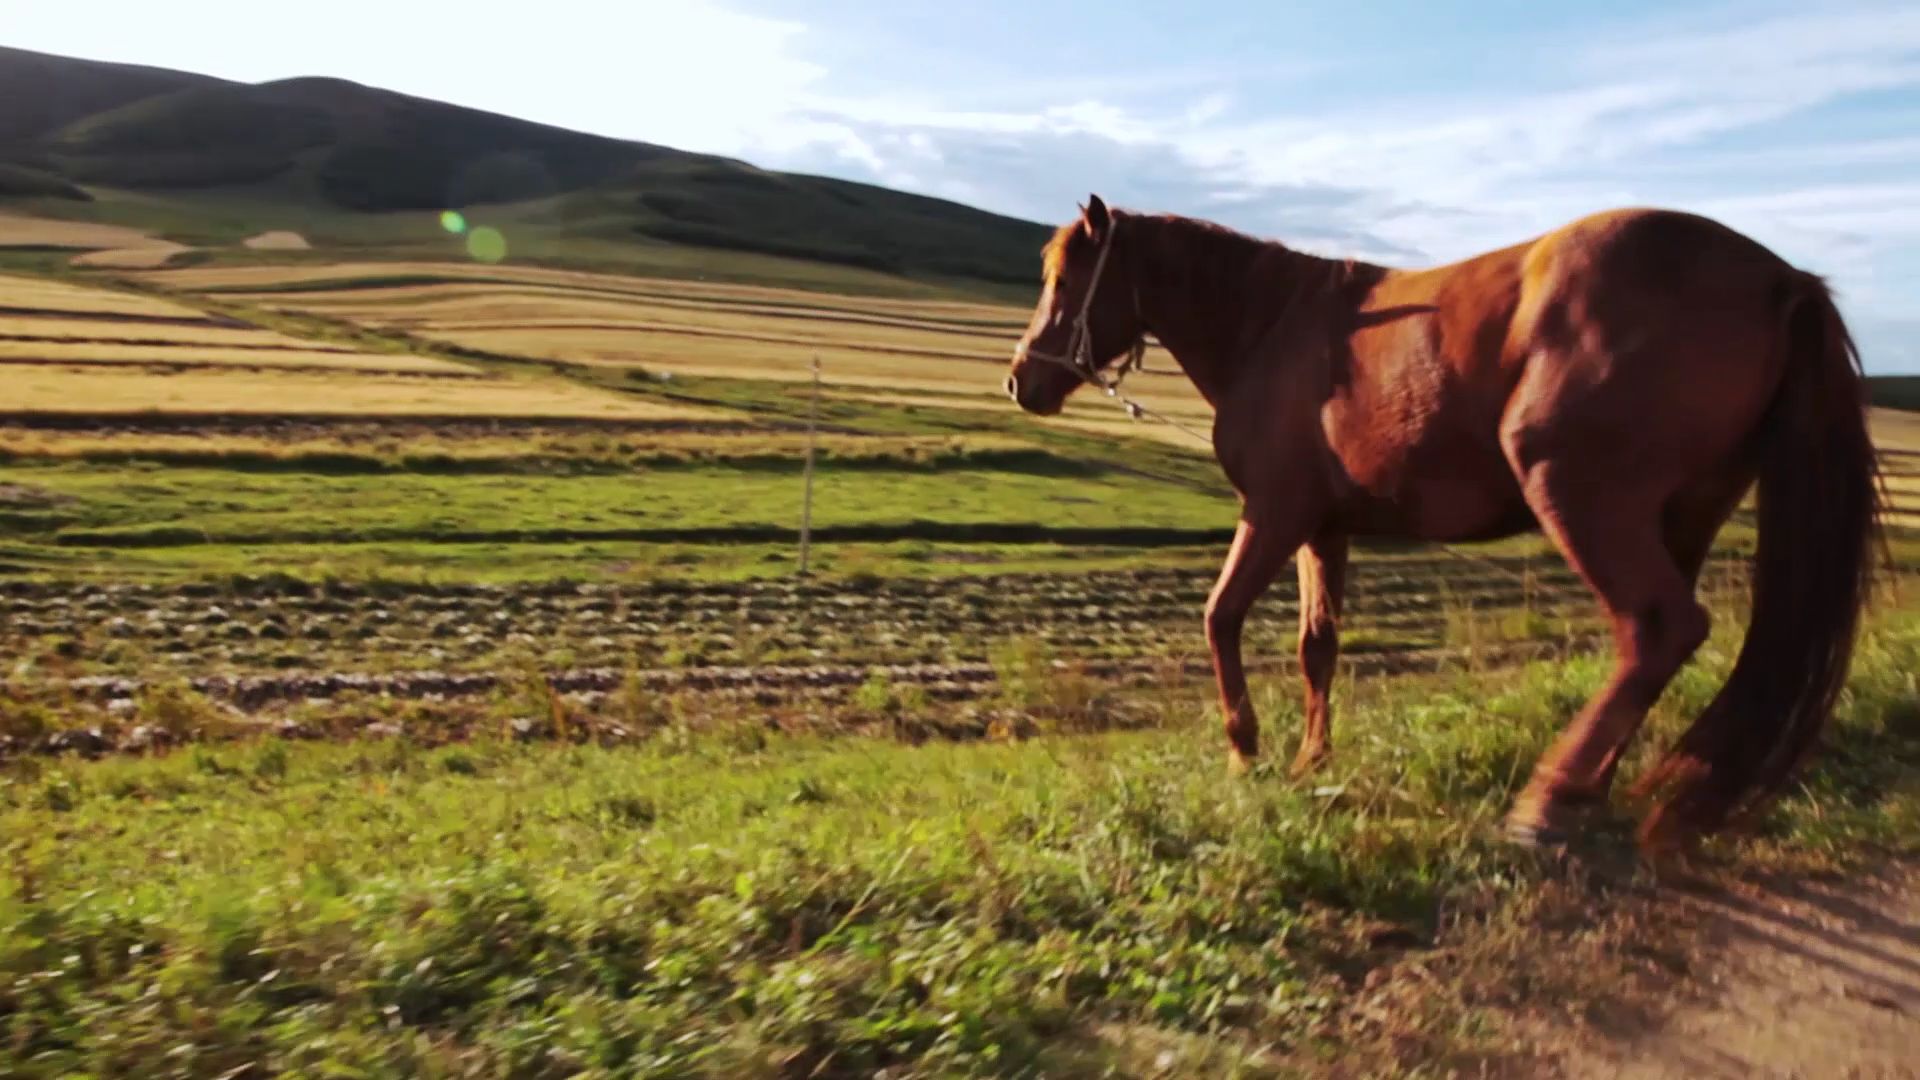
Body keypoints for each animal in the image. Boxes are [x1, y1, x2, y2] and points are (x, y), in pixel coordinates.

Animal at [1013, 195, 1881, 849]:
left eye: (1066, 277)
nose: (1021, 379)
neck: (1273, 325)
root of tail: (1784, 280)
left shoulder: (1273, 512)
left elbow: (1220, 617)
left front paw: (1244, 751)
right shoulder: (1323, 528)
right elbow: (1316, 647)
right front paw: (1310, 760)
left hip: (1581, 497)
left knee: (1657, 628)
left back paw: (1548, 801)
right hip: (1685, 514)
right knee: (1657, 646)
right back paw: (1591, 785)